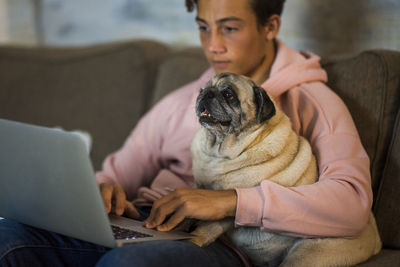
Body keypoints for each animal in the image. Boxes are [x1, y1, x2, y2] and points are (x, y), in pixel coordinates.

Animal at [189, 72, 382, 266]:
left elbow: (210, 226)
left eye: (228, 94)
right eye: (202, 89)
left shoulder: (228, 209)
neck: (217, 150)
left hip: (305, 254)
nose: (205, 94)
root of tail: (375, 241)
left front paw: (194, 239)